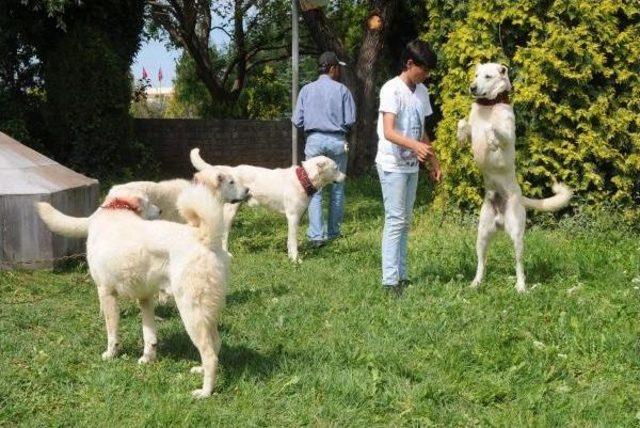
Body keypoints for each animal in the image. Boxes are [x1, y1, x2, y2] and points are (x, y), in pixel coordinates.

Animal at [37, 184, 234, 398]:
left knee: (210, 355)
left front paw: (111, 354)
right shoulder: (145, 297)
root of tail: (206, 238)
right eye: (148, 202)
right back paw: (200, 370)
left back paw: (205, 392)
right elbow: (149, 335)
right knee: (216, 344)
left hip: (191, 313)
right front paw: (147, 359)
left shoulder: (106, 293)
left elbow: (112, 332)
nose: (160, 211)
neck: (116, 209)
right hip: (206, 313)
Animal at [190, 147, 348, 260]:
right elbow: (293, 241)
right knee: (224, 235)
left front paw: (291, 257)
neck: (304, 179)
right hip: (230, 212)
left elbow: (290, 241)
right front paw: (296, 260)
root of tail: (230, 170)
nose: (345, 177)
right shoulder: (293, 217)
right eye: (336, 168)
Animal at [458, 61, 572, 292]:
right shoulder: (470, 130)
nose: (472, 88)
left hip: (518, 235)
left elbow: (496, 130)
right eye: (475, 75)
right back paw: (476, 283)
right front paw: (463, 132)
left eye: (488, 76)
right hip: (482, 235)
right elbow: (462, 124)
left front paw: (492, 139)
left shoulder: (507, 134)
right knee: (481, 262)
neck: (489, 106)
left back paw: (521, 287)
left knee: (519, 265)